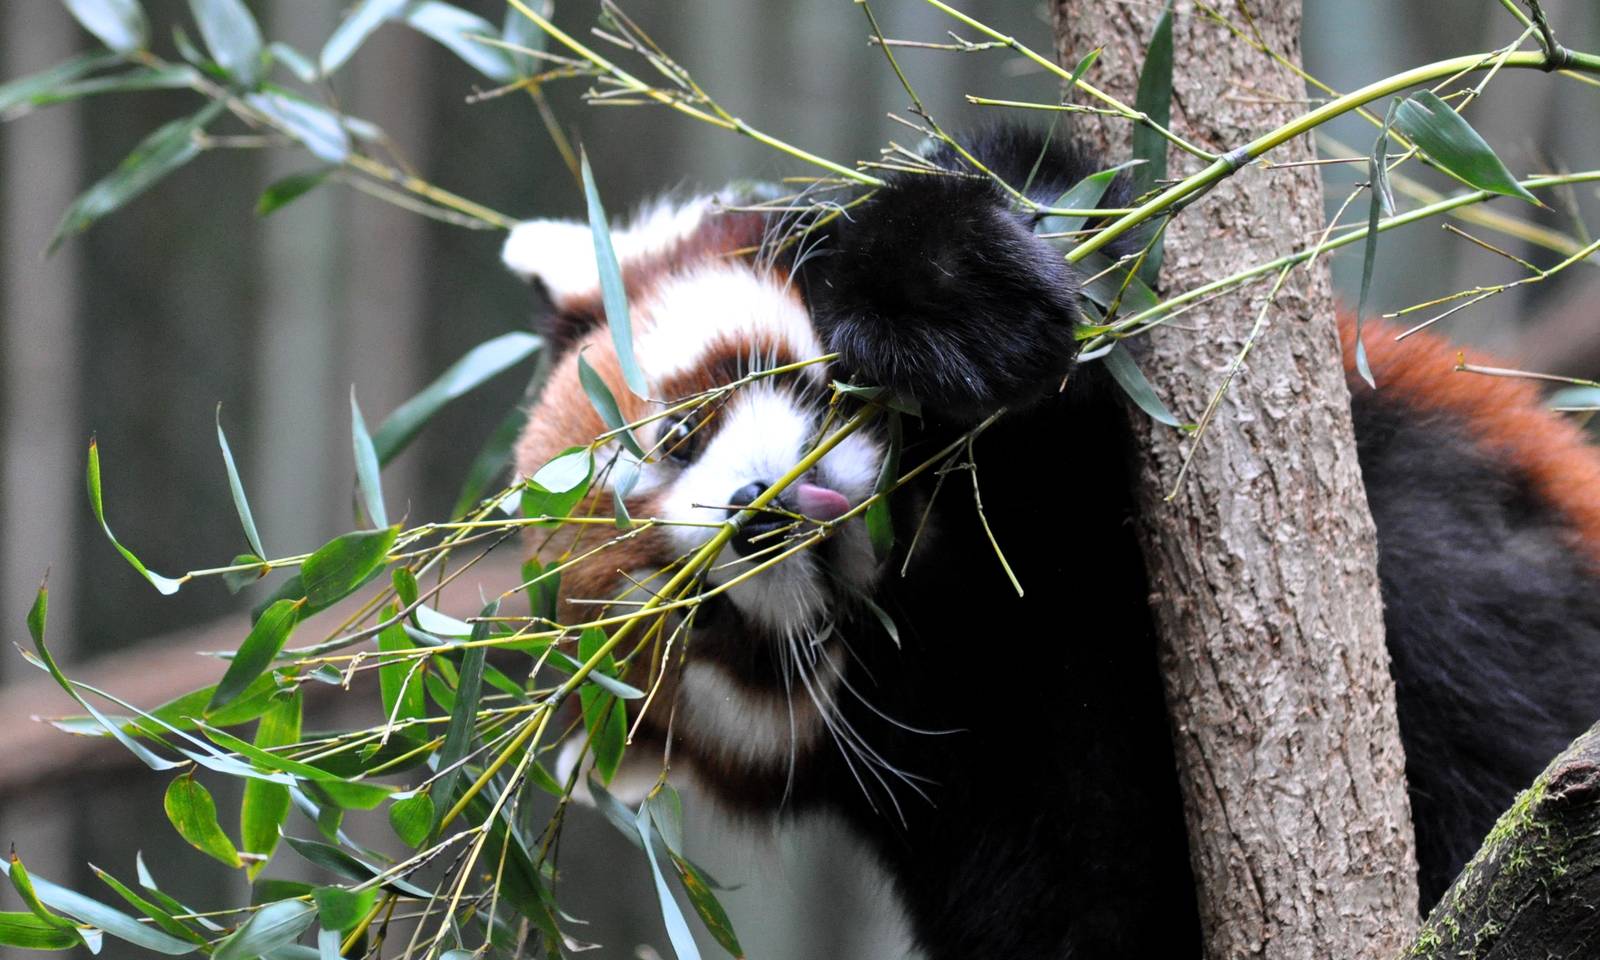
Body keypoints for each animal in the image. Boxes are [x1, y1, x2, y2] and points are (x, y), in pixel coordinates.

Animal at [501, 127, 1600, 958]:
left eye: (682, 432)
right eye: (701, 624)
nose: (751, 518)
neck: (959, 558)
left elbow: (1086, 229)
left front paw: (946, 299)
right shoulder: (973, 790)